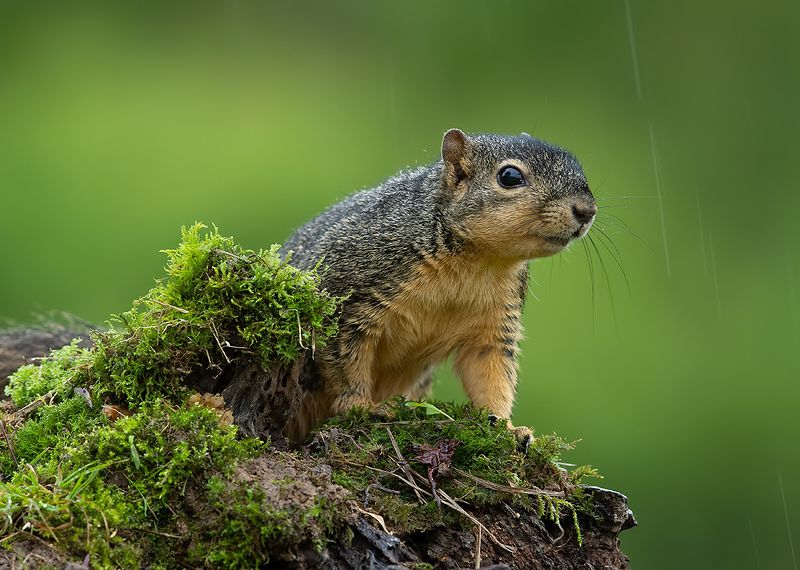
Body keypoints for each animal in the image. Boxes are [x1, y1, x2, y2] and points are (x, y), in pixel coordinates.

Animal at [283, 128, 596, 443]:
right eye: (509, 177)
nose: (587, 210)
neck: (477, 260)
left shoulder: (495, 323)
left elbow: (491, 373)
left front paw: (508, 428)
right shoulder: (347, 296)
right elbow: (345, 360)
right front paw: (361, 405)